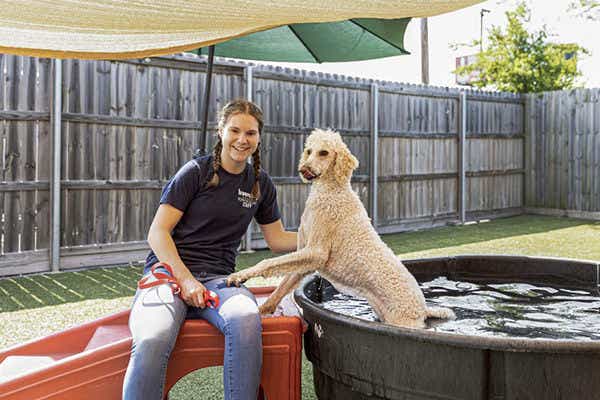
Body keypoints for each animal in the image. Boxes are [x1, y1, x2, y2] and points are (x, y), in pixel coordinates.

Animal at [227, 129, 452, 328]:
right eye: (309, 151)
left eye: (324, 152)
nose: (303, 169)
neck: (331, 190)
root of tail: (423, 309)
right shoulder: (306, 257)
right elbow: (282, 286)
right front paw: (262, 309)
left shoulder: (316, 252)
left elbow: (268, 262)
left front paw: (240, 275)